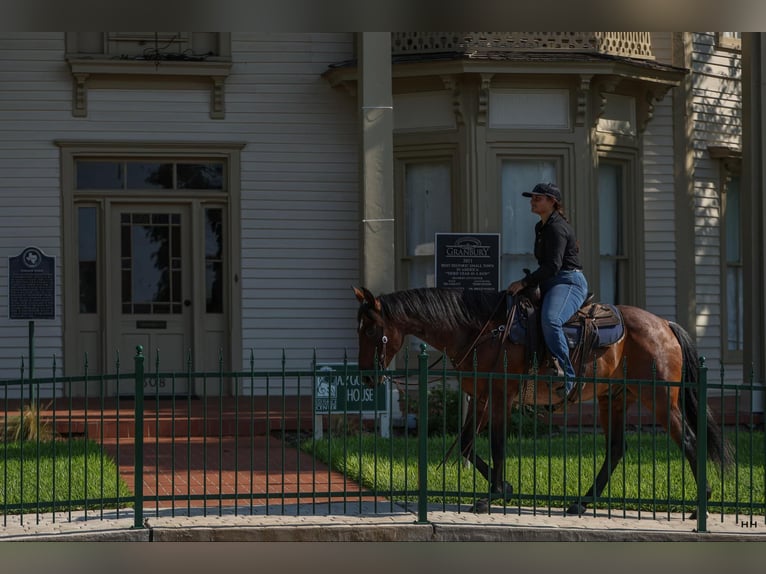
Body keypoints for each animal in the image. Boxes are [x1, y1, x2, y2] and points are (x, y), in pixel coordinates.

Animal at [354, 288, 732, 516]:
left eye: (371, 330)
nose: (367, 378)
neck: (479, 330)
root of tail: (665, 325)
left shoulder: (500, 397)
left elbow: (497, 444)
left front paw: (493, 495)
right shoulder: (480, 399)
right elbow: (465, 444)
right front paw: (503, 487)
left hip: (659, 399)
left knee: (688, 440)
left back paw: (700, 504)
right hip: (613, 399)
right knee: (616, 449)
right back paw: (582, 502)